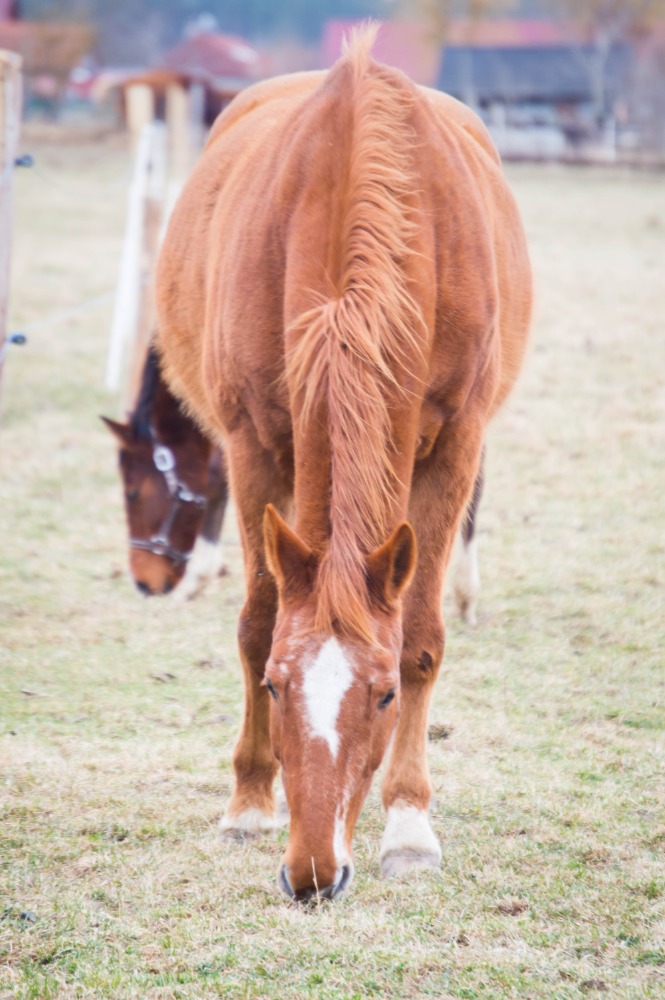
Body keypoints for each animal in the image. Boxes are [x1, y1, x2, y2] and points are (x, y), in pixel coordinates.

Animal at [154, 31, 528, 904]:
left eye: (383, 693)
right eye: (276, 687)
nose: (314, 874)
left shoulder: (453, 444)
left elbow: (420, 635)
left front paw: (410, 826)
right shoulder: (251, 443)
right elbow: (258, 620)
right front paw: (248, 803)